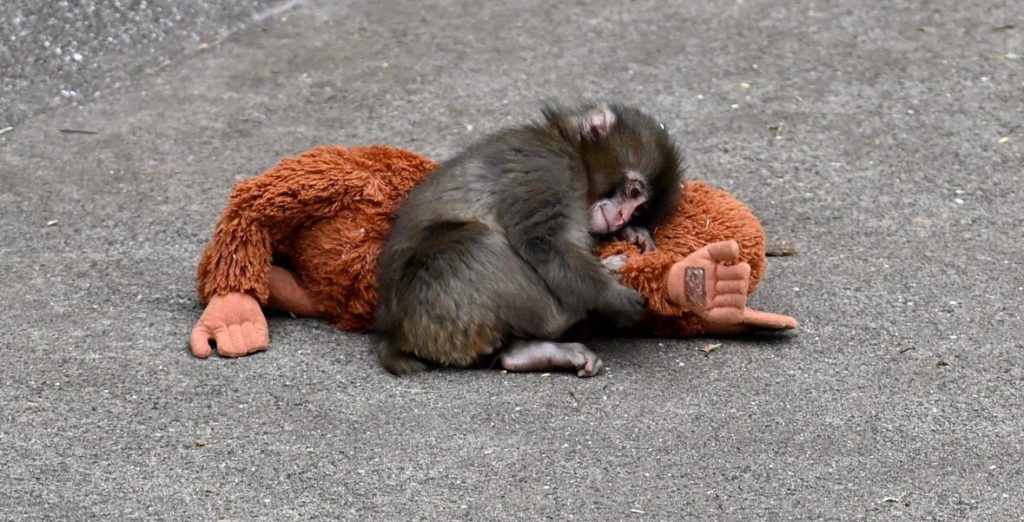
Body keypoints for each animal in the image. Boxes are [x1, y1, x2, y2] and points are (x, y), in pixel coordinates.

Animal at [373, 103, 682, 377]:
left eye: (640, 208)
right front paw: (611, 296)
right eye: (633, 192)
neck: (570, 148)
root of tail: (394, 333)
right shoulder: (551, 168)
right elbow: (540, 240)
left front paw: (633, 234)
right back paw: (570, 312)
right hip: (433, 302)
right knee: (477, 242)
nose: (621, 217)